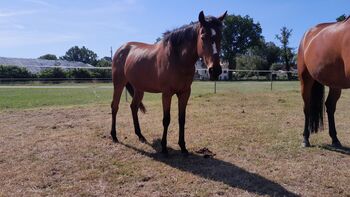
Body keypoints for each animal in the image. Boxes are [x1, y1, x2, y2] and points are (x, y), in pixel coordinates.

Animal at [110, 11, 228, 155]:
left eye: (220, 37)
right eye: (203, 36)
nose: (215, 70)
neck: (177, 58)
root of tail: (121, 49)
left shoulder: (184, 93)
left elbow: (181, 119)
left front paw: (183, 147)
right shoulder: (166, 94)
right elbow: (166, 119)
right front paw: (164, 147)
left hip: (139, 88)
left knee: (133, 107)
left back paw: (140, 135)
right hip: (119, 84)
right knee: (115, 106)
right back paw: (114, 136)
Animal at [298, 16, 350, 147]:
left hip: (335, 84)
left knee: (330, 106)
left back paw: (335, 139)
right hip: (305, 80)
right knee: (307, 107)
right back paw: (305, 139)